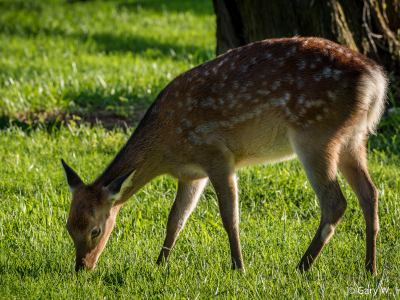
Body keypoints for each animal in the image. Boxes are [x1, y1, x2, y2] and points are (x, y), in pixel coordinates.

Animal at [61, 37, 388, 276]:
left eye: (96, 230)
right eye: (67, 227)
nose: (82, 268)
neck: (166, 149)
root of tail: (375, 80)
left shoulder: (216, 154)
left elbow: (229, 216)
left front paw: (239, 268)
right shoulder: (192, 173)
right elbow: (175, 219)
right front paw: (159, 265)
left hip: (315, 134)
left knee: (336, 202)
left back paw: (301, 267)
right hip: (353, 137)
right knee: (370, 192)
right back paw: (370, 269)